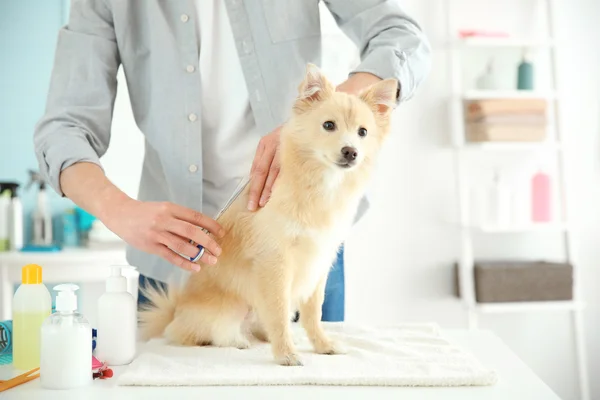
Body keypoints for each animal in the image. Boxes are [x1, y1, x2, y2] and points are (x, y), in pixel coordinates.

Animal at [141, 65, 398, 366]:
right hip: (228, 307)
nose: (350, 151)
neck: (321, 184)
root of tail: (175, 311)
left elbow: (313, 314)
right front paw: (286, 353)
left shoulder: (318, 263)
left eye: (363, 132)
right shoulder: (276, 262)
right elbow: (278, 312)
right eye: (328, 125)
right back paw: (237, 340)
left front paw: (322, 345)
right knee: (209, 333)